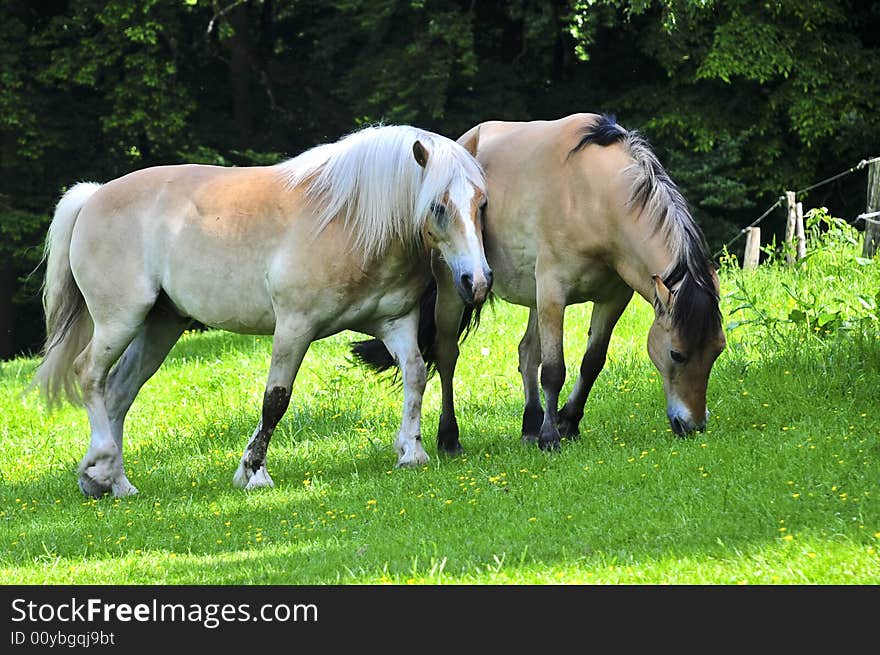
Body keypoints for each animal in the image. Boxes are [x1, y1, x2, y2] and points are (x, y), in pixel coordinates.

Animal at [36, 125, 496, 500]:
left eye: (481, 205)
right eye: (438, 207)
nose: (477, 281)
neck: (349, 223)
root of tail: (94, 196)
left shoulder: (395, 323)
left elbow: (416, 374)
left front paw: (411, 451)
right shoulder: (294, 327)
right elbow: (275, 399)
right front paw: (254, 472)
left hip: (159, 326)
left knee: (118, 391)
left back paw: (114, 482)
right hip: (120, 321)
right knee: (88, 374)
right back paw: (100, 466)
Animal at [354, 114, 724, 452]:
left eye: (718, 349)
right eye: (676, 354)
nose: (693, 425)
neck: (595, 198)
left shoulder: (612, 299)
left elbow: (591, 362)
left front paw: (567, 422)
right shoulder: (552, 293)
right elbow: (554, 370)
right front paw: (551, 436)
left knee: (526, 352)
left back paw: (530, 425)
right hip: (455, 290)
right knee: (447, 355)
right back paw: (450, 437)